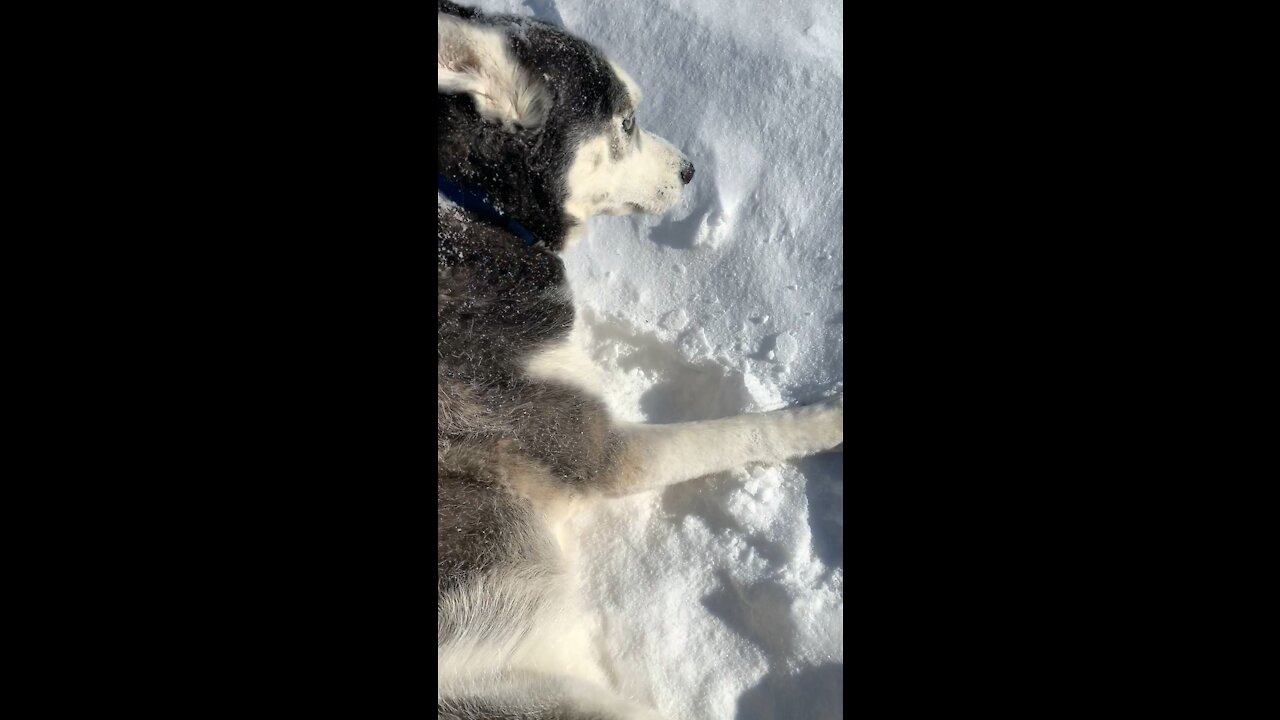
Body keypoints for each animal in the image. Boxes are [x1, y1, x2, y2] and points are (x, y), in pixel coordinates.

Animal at [435, 2, 844, 712]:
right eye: (625, 121)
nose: (689, 171)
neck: (470, 210)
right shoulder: (600, 450)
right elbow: (748, 430)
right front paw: (829, 416)